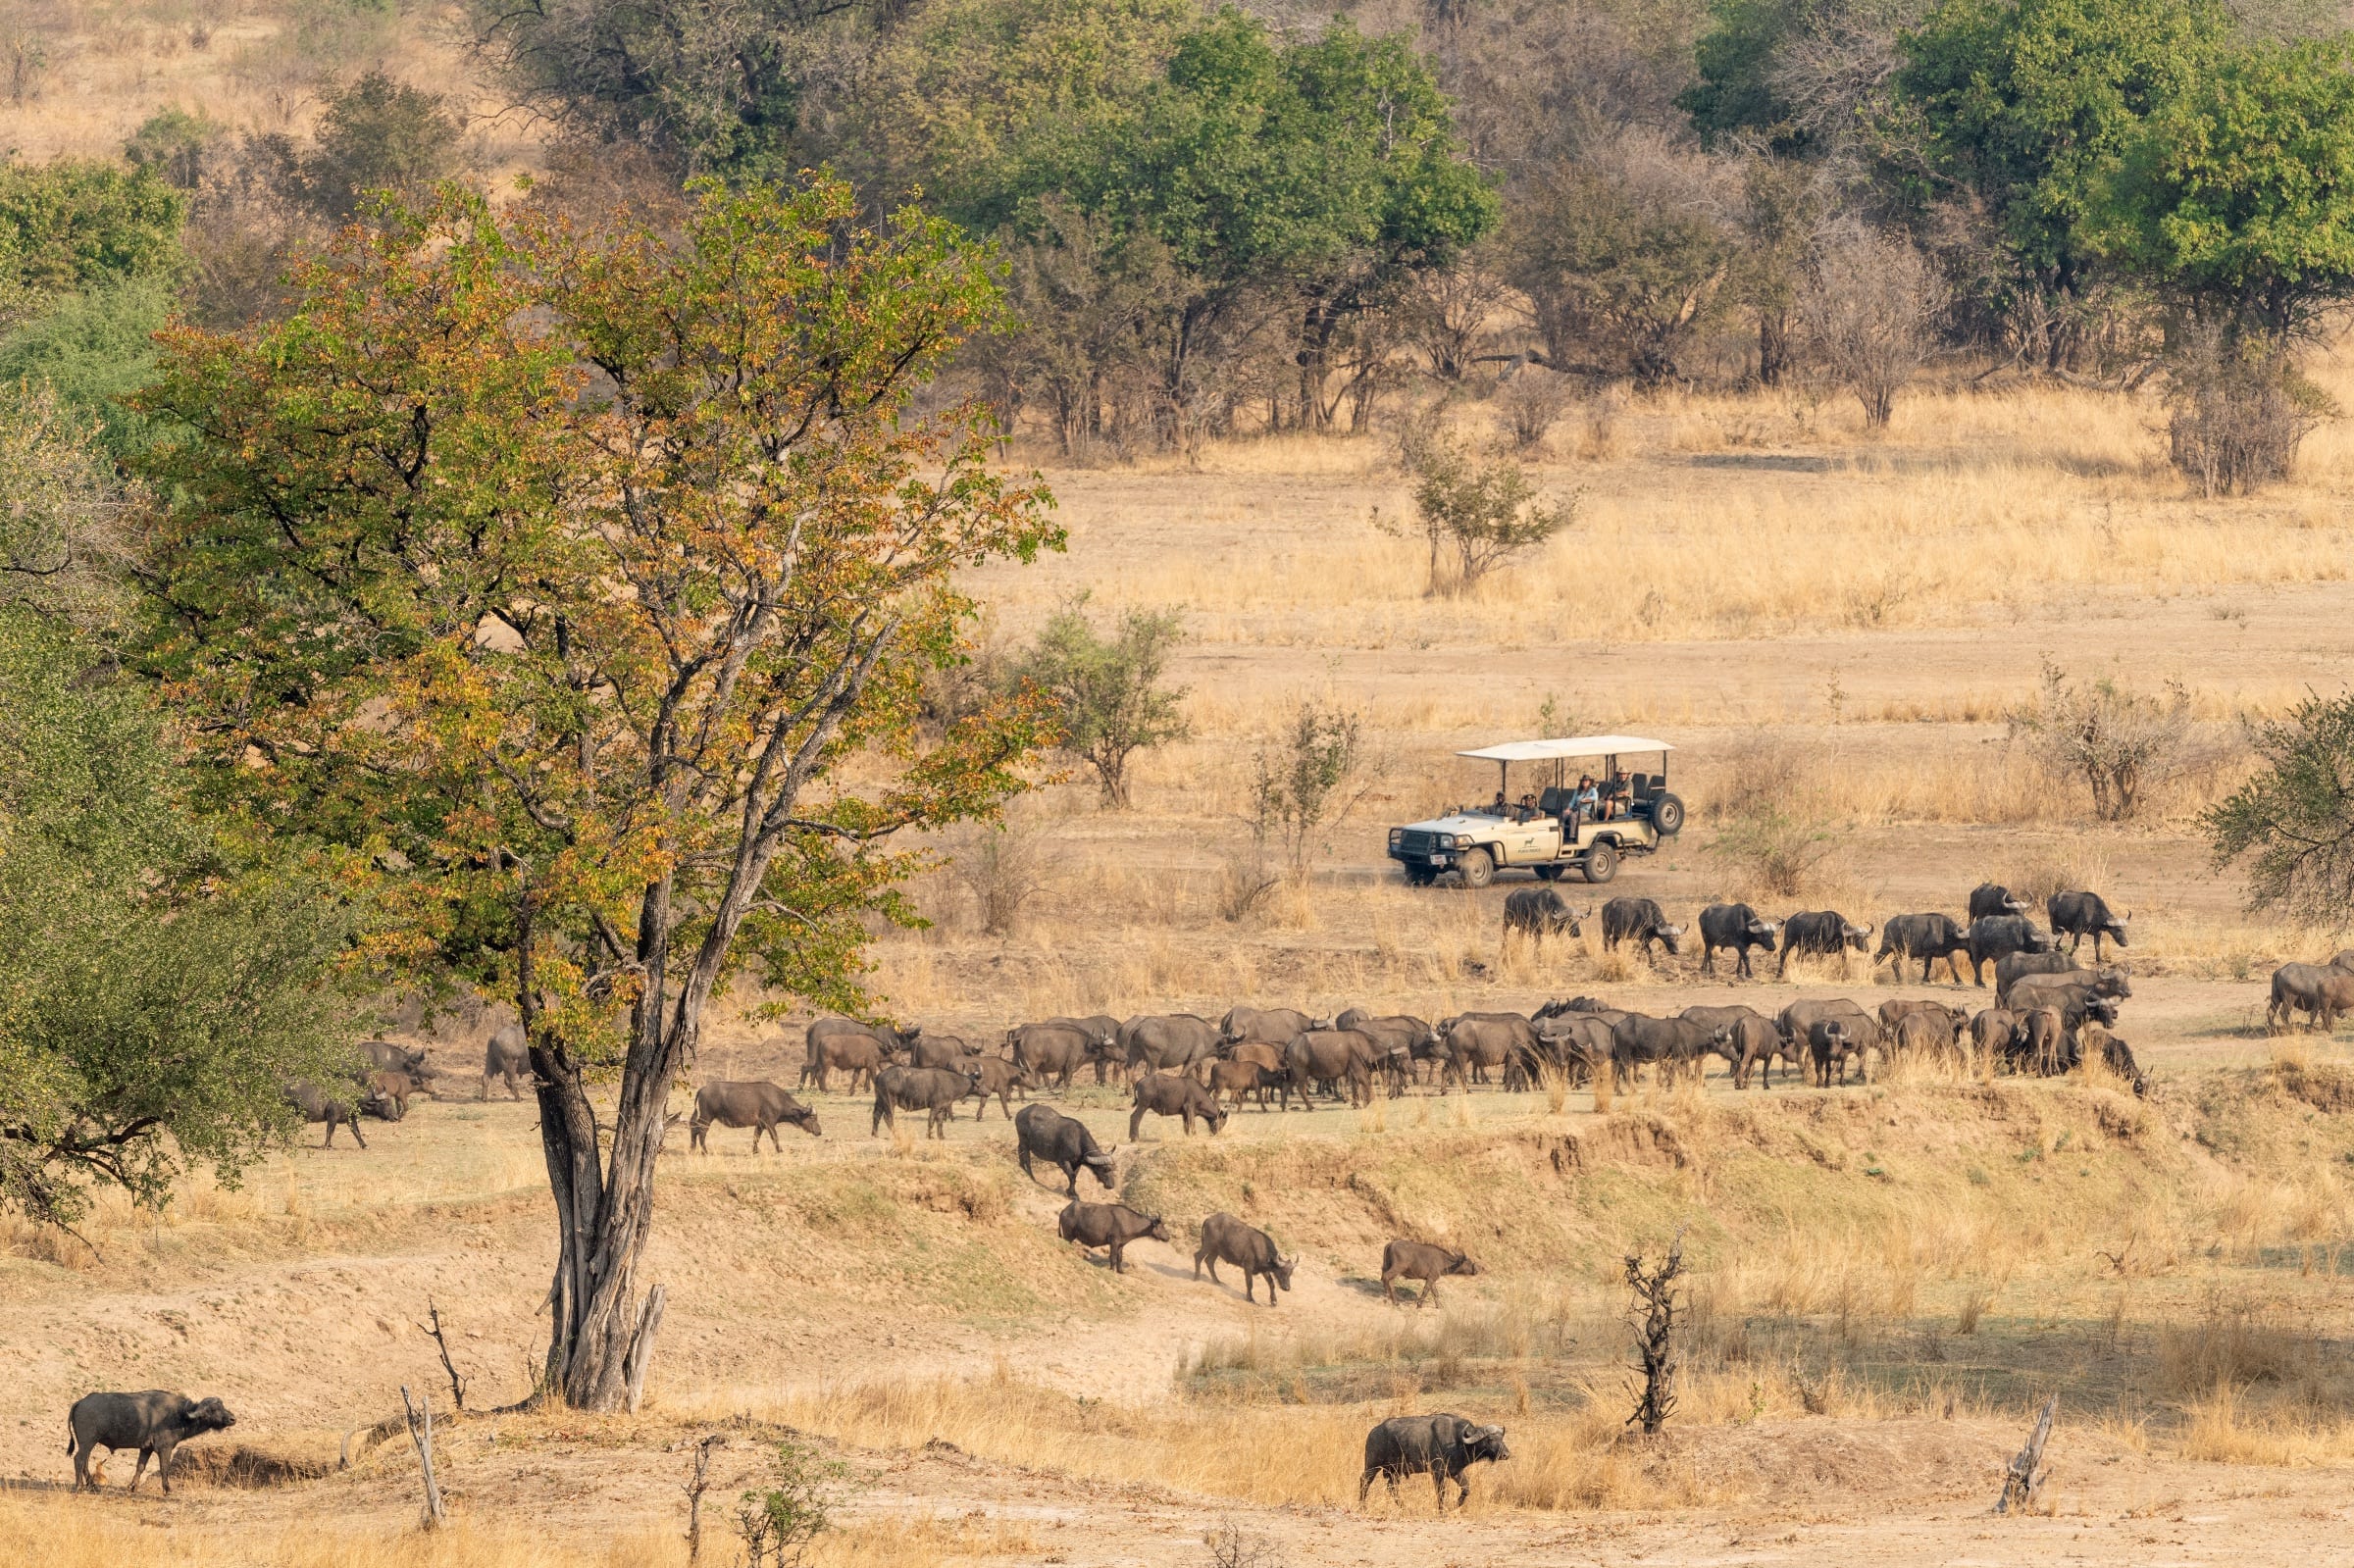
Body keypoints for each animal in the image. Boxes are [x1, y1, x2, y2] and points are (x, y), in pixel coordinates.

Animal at [67, 1390, 236, 1494]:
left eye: (223, 1406)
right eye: (213, 1409)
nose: (232, 1419)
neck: (179, 1415)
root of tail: (81, 1401)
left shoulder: (146, 1448)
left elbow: (140, 1467)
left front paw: (133, 1487)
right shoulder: (165, 1448)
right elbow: (164, 1468)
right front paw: (167, 1489)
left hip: (88, 1443)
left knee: (85, 1462)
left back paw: (92, 1485)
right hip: (88, 1441)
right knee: (79, 1459)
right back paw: (79, 1487)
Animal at [691, 1080, 820, 1151]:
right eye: (812, 1117)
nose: (819, 1132)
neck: (778, 1100)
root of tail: (703, 1088)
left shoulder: (760, 1125)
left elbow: (756, 1138)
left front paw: (755, 1151)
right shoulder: (769, 1124)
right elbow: (775, 1137)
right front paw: (780, 1150)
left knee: (694, 1129)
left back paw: (692, 1150)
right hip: (707, 1117)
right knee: (701, 1132)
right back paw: (705, 1152)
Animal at [1360, 1414, 1509, 1510]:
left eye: (1501, 1438)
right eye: (1490, 1439)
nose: (1506, 1455)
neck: (1457, 1440)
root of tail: (1374, 1432)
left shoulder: (1455, 1471)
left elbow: (1466, 1489)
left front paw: (1453, 1507)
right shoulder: (1438, 1473)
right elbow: (1441, 1492)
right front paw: (1442, 1511)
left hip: (1395, 1472)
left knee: (1392, 1488)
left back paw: (1405, 1507)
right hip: (1372, 1465)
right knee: (1365, 1481)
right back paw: (1362, 1506)